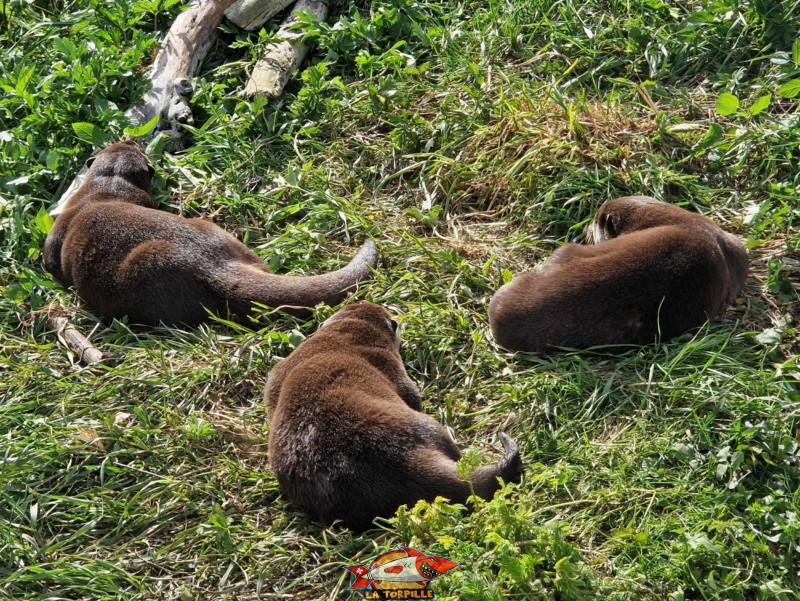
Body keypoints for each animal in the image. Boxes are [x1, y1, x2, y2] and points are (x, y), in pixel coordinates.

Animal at [42, 140, 380, 326]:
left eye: (136, 145)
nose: (131, 137)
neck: (106, 190)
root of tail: (215, 267)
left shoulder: (55, 236)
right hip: (212, 228)